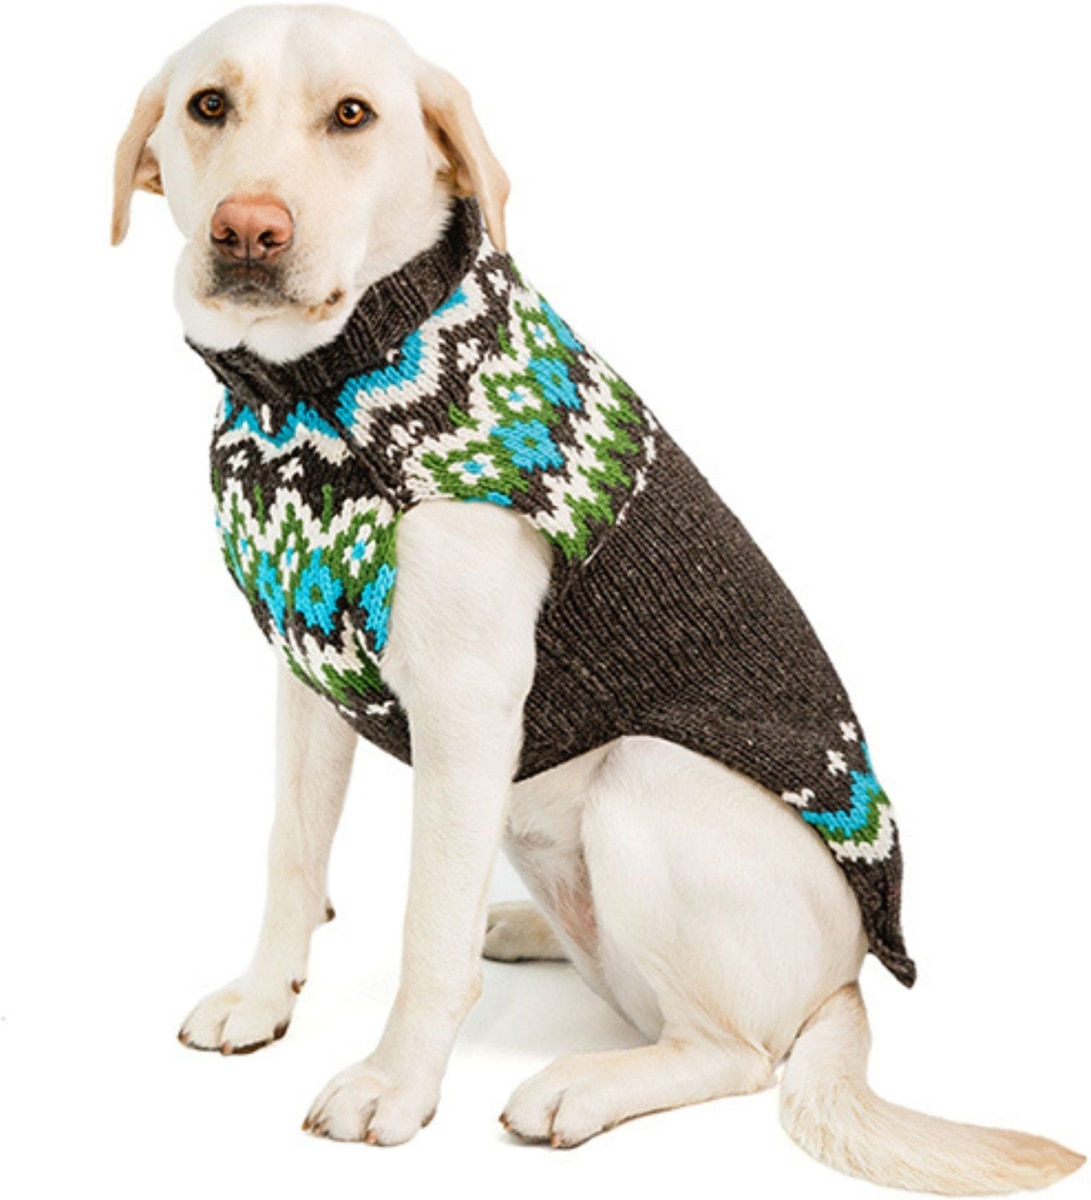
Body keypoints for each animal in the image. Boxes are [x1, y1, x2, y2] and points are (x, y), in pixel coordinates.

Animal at [112, 6, 1083, 1191]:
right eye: (208, 105)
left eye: (352, 115)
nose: (248, 230)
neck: (319, 388)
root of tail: (850, 978)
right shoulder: (306, 674)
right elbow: (291, 854)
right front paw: (263, 997)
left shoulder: (467, 707)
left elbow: (423, 931)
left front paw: (395, 1085)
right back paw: (528, 927)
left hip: (644, 781)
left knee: (735, 1050)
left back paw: (580, 1085)